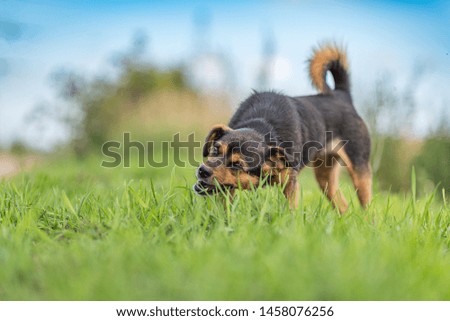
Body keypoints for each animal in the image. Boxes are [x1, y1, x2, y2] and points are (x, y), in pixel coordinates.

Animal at [193, 43, 372, 212]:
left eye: (237, 165)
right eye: (215, 150)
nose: (203, 170)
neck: (262, 126)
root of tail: (341, 96)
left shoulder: (290, 183)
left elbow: (291, 211)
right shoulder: (226, 190)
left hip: (360, 173)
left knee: (368, 208)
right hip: (325, 177)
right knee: (343, 206)